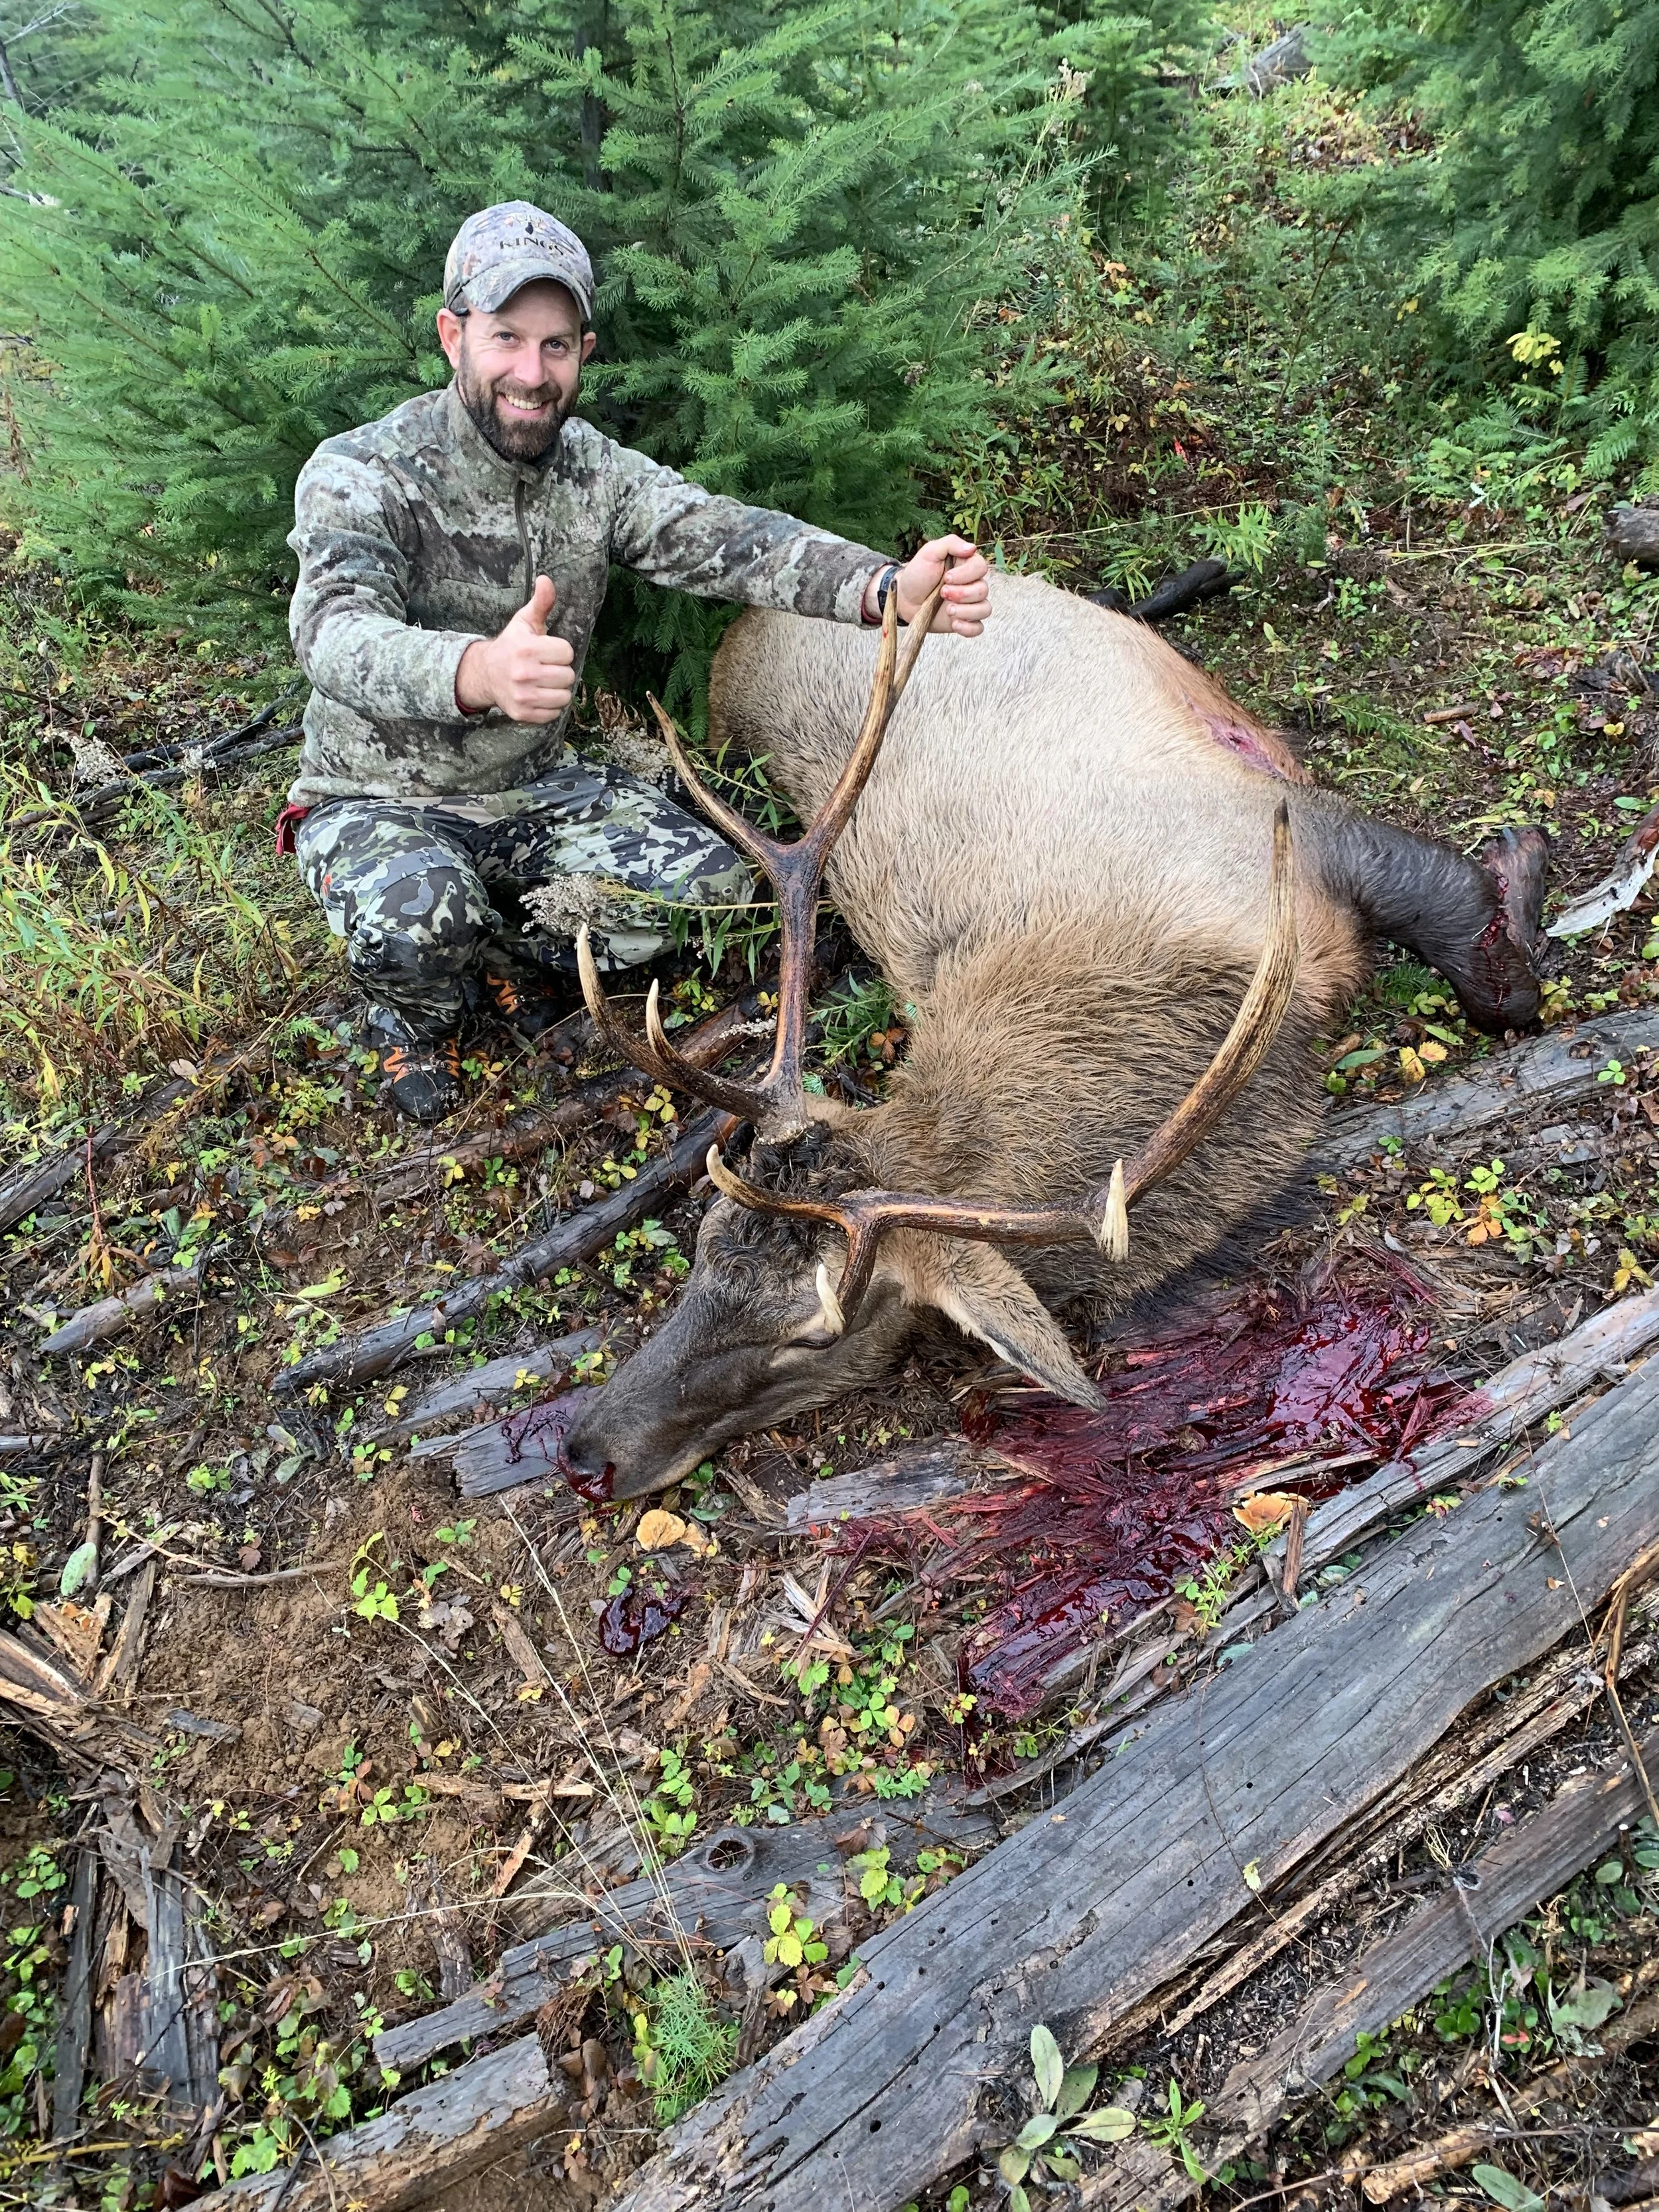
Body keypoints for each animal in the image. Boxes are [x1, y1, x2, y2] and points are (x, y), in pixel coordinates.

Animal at [562, 569, 1549, 1500]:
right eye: (703, 1245)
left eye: (811, 1336)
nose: (584, 1457)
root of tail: (736, 635)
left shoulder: (1294, 827)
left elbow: (1496, 973)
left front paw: (1522, 854)